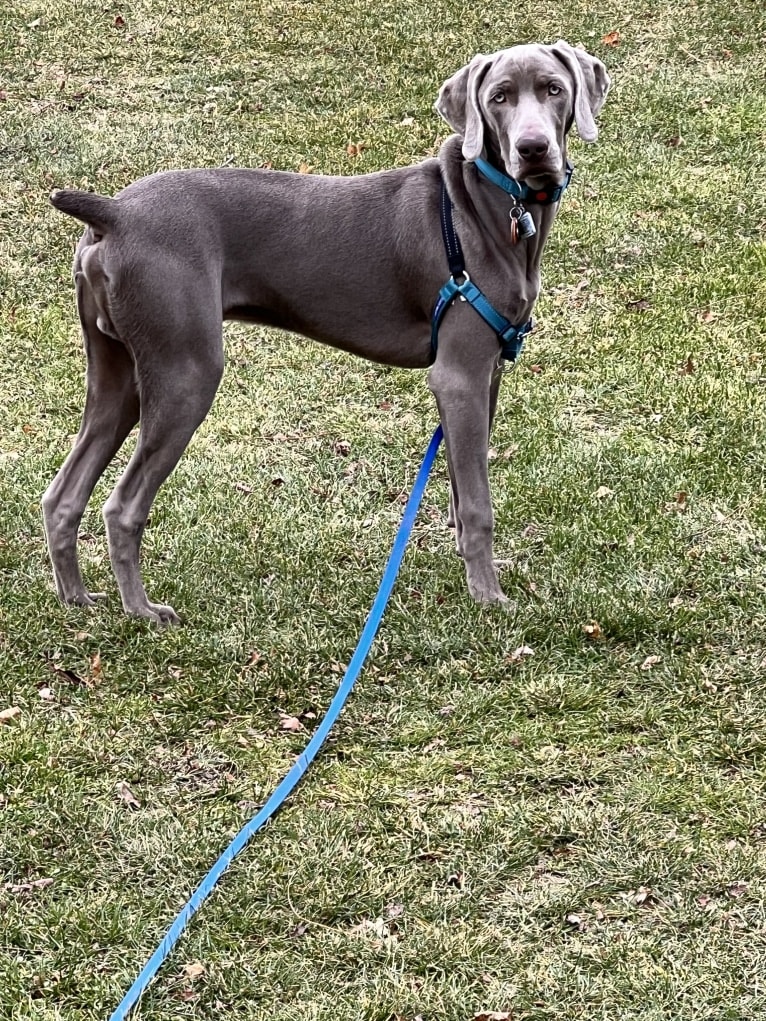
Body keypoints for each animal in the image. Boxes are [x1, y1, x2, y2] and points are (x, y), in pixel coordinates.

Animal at [44, 39, 612, 620]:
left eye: (553, 89)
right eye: (498, 98)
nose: (533, 148)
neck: (492, 208)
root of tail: (115, 212)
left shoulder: (487, 374)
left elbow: (459, 485)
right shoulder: (460, 375)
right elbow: (478, 502)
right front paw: (489, 598)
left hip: (118, 372)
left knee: (62, 493)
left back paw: (77, 598)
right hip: (185, 371)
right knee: (122, 506)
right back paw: (142, 612)